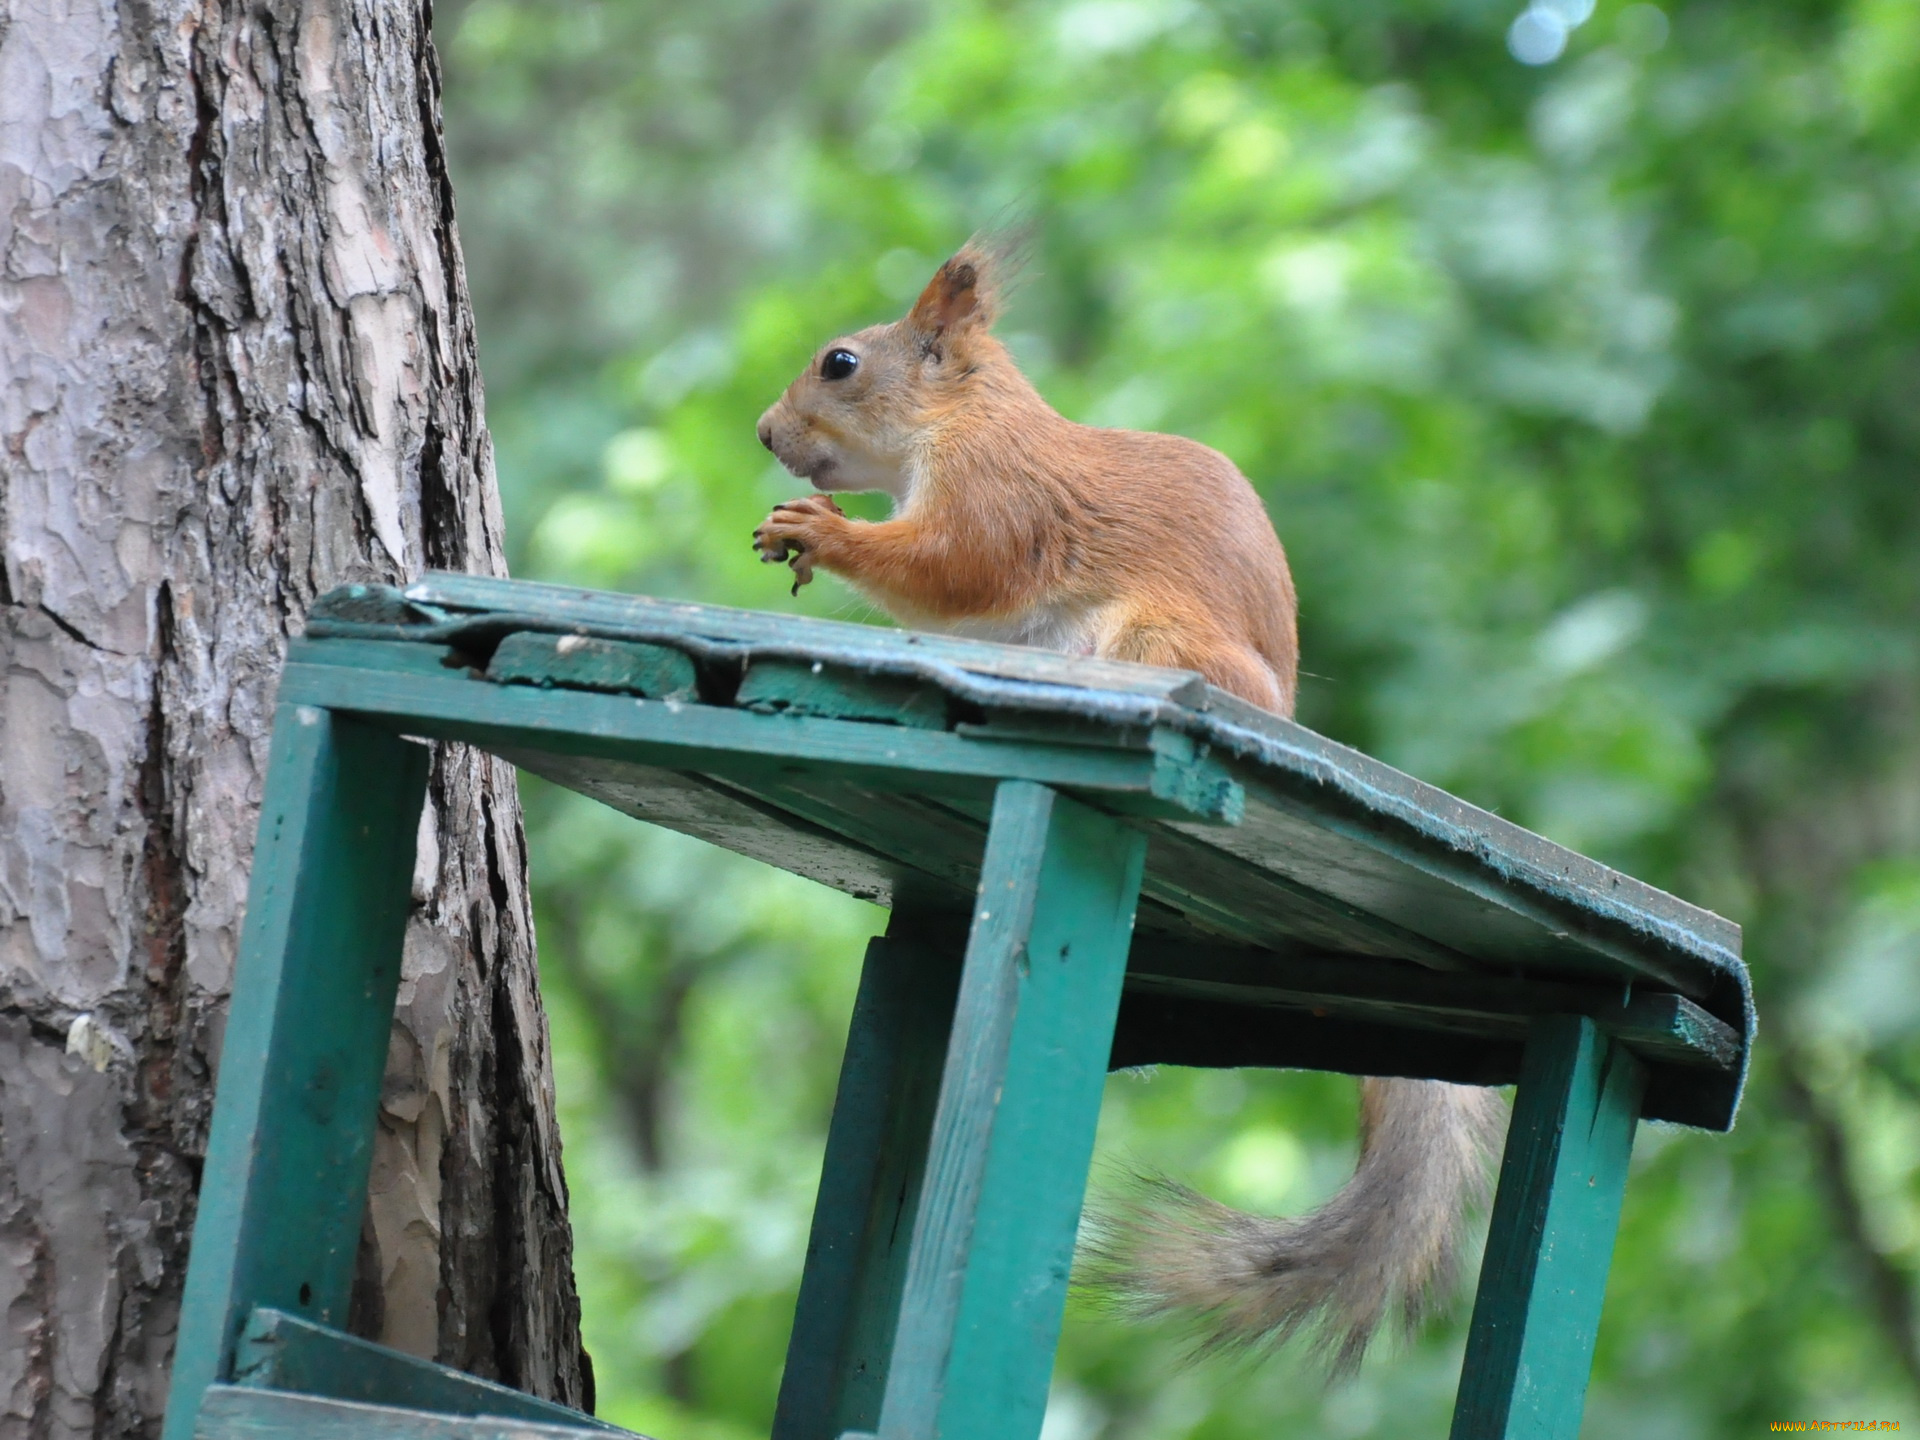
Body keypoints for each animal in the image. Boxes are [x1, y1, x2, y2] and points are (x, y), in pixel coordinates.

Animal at [744, 242, 1497, 1367]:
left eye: (840, 363)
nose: (765, 433)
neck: (958, 420)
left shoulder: (1001, 494)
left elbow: (953, 565)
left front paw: (822, 535)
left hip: (1156, 640)